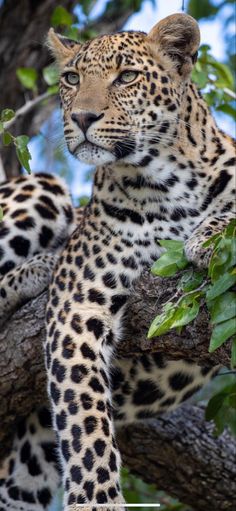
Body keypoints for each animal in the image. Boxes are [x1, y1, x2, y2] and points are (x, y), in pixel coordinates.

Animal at [0, 11, 235, 511]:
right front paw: (97, 499)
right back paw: (37, 269)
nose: (82, 117)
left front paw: (207, 236)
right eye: (71, 79)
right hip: (47, 187)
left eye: (126, 77)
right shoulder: (77, 305)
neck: (169, 181)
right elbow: (84, 422)